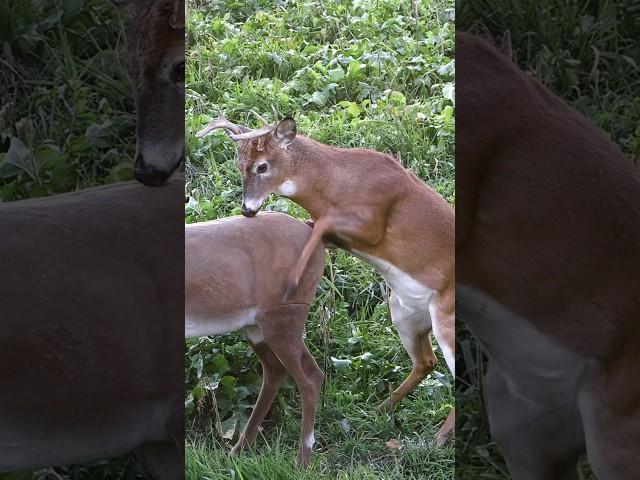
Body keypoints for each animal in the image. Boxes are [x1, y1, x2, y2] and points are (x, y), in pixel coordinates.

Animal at [184, 212, 324, 466]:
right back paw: (238, 450)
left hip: (283, 316)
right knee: (280, 371)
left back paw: (301, 462)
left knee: (309, 379)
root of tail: (309, 228)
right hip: (258, 327)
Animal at [198, 110, 458, 444]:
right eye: (238, 165)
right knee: (426, 361)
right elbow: (314, 226)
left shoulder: (373, 225)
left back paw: (438, 438)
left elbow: (323, 223)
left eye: (262, 166)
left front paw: (292, 281)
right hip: (404, 311)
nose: (247, 210)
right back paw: (380, 410)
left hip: (446, 316)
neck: (335, 180)